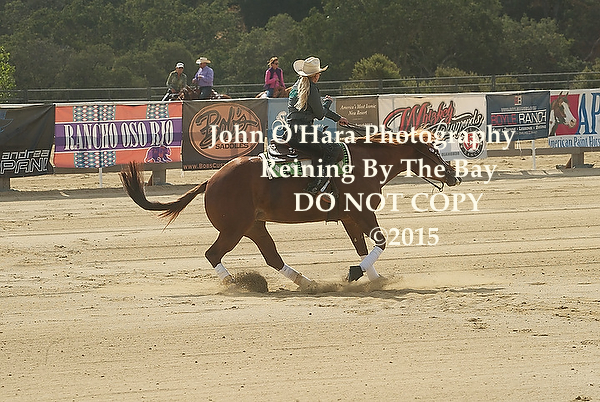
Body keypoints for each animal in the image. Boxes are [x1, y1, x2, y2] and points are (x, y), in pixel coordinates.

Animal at [120, 131, 461, 289]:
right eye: (433, 151)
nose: (453, 174)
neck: (364, 163)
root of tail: (211, 180)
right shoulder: (363, 214)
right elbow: (380, 242)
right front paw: (356, 273)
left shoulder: (351, 218)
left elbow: (363, 248)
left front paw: (372, 279)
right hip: (233, 229)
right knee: (213, 254)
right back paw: (236, 284)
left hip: (254, 227)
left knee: (272, 257)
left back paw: (307, 283)